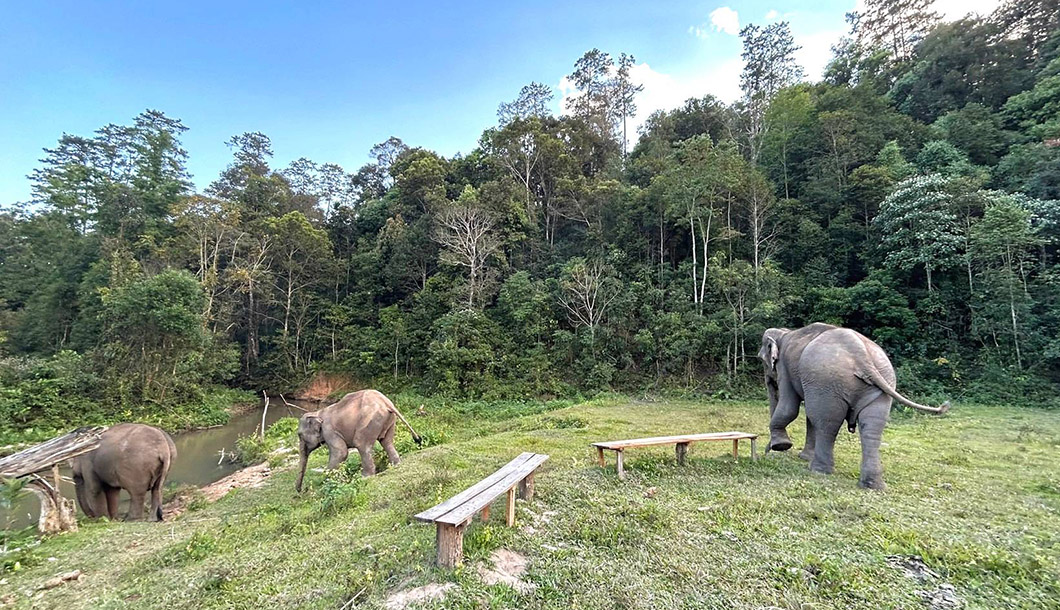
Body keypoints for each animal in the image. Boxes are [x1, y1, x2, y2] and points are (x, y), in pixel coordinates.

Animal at [758, 324, 949, 492]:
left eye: (762, 360)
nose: (768, 450)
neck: (784, 332)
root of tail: (861, 356)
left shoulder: (785, 368)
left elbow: (790, 407)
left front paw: (782, 446)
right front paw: (798, 454)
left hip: (826, 382)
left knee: (827, 424)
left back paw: (818, 470)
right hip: (878, 385)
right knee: (871, 427)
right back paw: (872, 485)